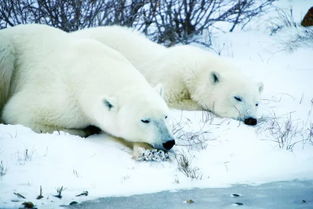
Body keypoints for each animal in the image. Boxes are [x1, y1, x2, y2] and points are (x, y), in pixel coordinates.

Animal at [0, 24, 176, 151]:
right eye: (145, 120)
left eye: (165, 116)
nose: (168, 142)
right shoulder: (62, 97)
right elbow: (19, 113)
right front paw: (87, 130)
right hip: (7, 50)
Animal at [72, 25, 262, 125]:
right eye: (237, 97)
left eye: (257, 103)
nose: (251, 119)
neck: (194, 67)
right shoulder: (171, 76)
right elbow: (173, 99)